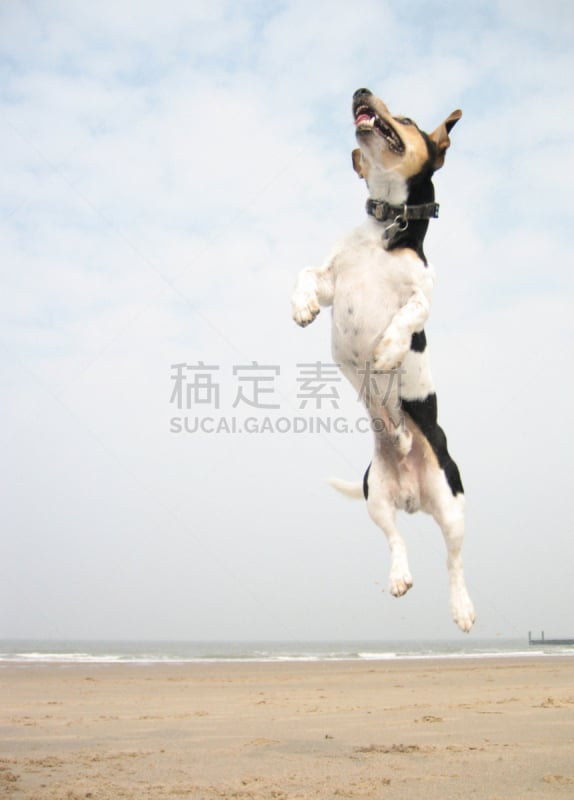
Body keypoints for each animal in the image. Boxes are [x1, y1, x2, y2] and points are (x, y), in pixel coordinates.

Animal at [292, 87, 476, 636]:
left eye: (409, 118)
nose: (359, 91)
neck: (386, 226)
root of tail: (414, 498)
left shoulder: (422, 295)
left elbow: (408, 315)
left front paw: (391, 348)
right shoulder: (332, 280)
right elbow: (307, 274)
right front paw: (300, 307)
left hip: (452, 506)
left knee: (454, 562)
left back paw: (462, 608)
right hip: (376, 500)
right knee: (397, 541)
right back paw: (398, 575)